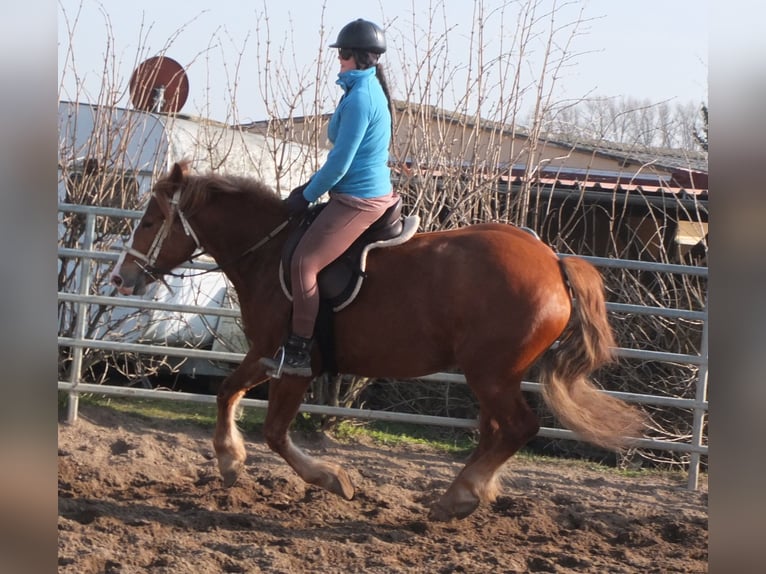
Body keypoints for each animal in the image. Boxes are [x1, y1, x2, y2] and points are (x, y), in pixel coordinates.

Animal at [111, 161, 644, 520]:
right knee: (495, 431)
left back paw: (458, 496)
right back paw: (466, 494)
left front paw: (331, 479)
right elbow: (226, 393)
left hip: (491, 374)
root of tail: (553, 261)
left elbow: (276, 432)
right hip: (493, 376)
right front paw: (228, 461)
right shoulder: (265, 353)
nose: (122, 278)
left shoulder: (295, 363)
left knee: (517, 428)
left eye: (151, 221)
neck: (269, 252)